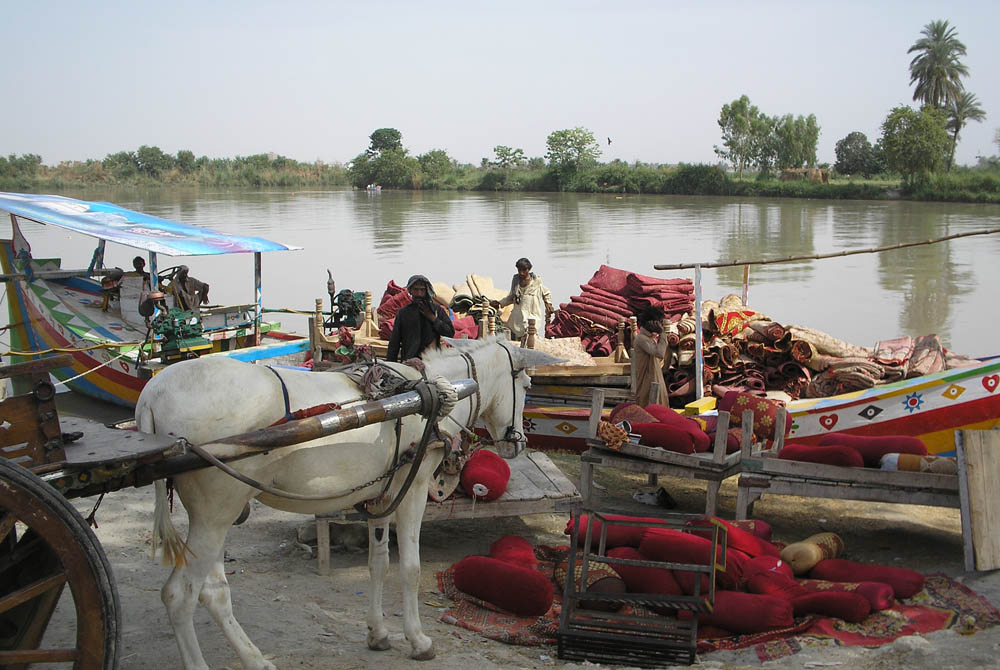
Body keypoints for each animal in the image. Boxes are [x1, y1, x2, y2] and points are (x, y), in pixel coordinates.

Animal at [136, 338, 560, 670]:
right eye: (525, 383)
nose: (518, 443)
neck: (436, 392)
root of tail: (152, 395)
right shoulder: (413, 489)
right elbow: (409, 569)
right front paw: (418, 640)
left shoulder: (382, 496)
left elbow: (378, 564)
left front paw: (378, 633)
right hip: (215, 514)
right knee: (179, 595)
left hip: (216, 517)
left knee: (213, 592)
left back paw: (254, 658)